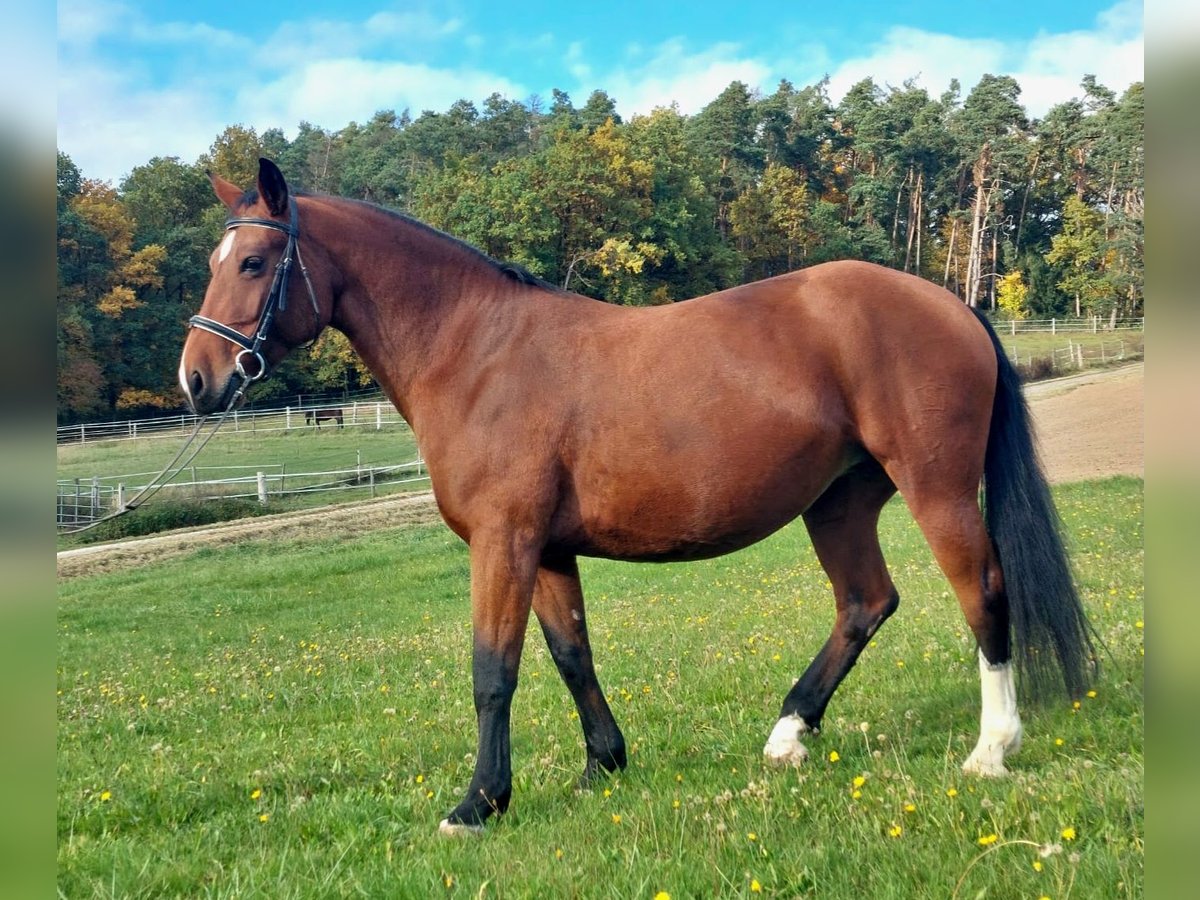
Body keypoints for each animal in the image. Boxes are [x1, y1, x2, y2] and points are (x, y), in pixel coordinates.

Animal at [179, 158, 1095, 836]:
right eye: (216, 263)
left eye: (254, 263)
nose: (197, 378)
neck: (475, 351)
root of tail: (950, 303)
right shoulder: (546, 549)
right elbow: (570, 656)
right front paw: (601, 765)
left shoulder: (504, 542)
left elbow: (493, 671)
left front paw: (478, 803)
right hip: (838, 503)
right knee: (866, 603)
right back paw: (789, 734)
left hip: (937, 491)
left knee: (982, 595)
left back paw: (991, 749)